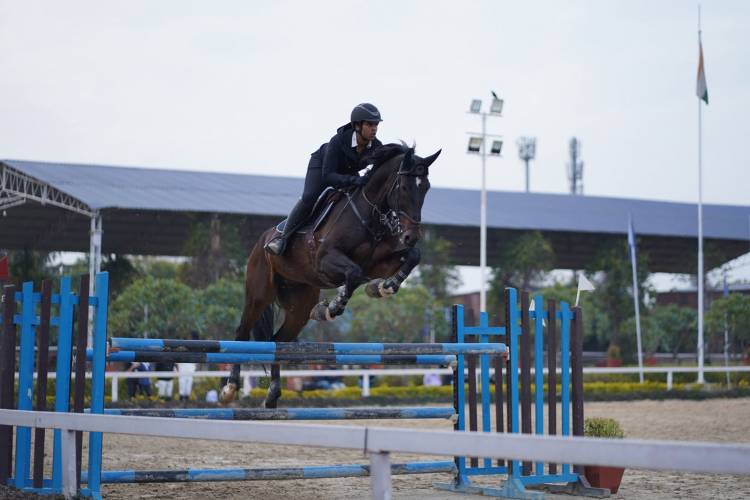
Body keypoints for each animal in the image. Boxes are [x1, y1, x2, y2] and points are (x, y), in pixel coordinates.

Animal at [220, 143, 441, 407]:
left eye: (426, 188)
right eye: (405, 187)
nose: (411, 236)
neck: (368, 214)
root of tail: (260, 241)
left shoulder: (377, 263)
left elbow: (411, 257)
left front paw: (382, 287)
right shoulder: (325, 260)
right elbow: (353, 274)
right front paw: (332, 307)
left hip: (299, 304)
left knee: (279, 340)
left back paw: (272, 396)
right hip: (258, 294)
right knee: (241, 332)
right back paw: (230, 388)